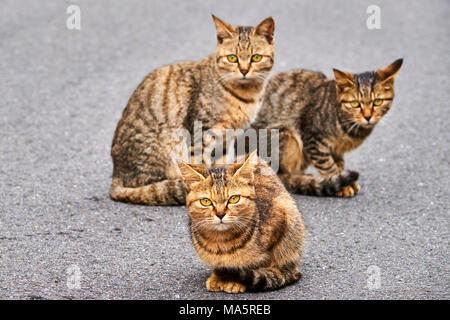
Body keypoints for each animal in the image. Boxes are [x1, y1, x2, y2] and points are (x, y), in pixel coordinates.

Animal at [110, 15, 276, 205]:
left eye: (256, 57)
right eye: (232, 58)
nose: (243, 70)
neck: (247, 95)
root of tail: (116, 174)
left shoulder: (227, 138)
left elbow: (222, 165)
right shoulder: (201, 133)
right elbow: (201, 167)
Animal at [178, 152, 304, 292]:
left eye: (234, 198)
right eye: (206, 201)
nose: (220, 214)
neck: (221, 242)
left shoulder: (281, 217)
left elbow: (254, 264)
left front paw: (234, 281)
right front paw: (218, 276)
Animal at [253, 58, 404, 196]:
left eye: (377, 102)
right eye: (355, 103)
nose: (368, 116)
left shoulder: (336, 149)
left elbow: (339, 164)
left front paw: (341, 179)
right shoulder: (313, 140)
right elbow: (328, 166)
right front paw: (342, 185)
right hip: (285, 136)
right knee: (283, 176)